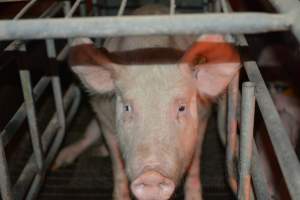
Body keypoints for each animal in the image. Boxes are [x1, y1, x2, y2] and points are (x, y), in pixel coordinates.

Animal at [54, 5, 241, 200]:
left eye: (181, 108)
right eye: (127, 107)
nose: (151, 175)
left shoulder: (203, 117)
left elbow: (194, 165)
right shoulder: (104, 118)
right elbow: (117, 164)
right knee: (89, 135)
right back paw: (60, 162)